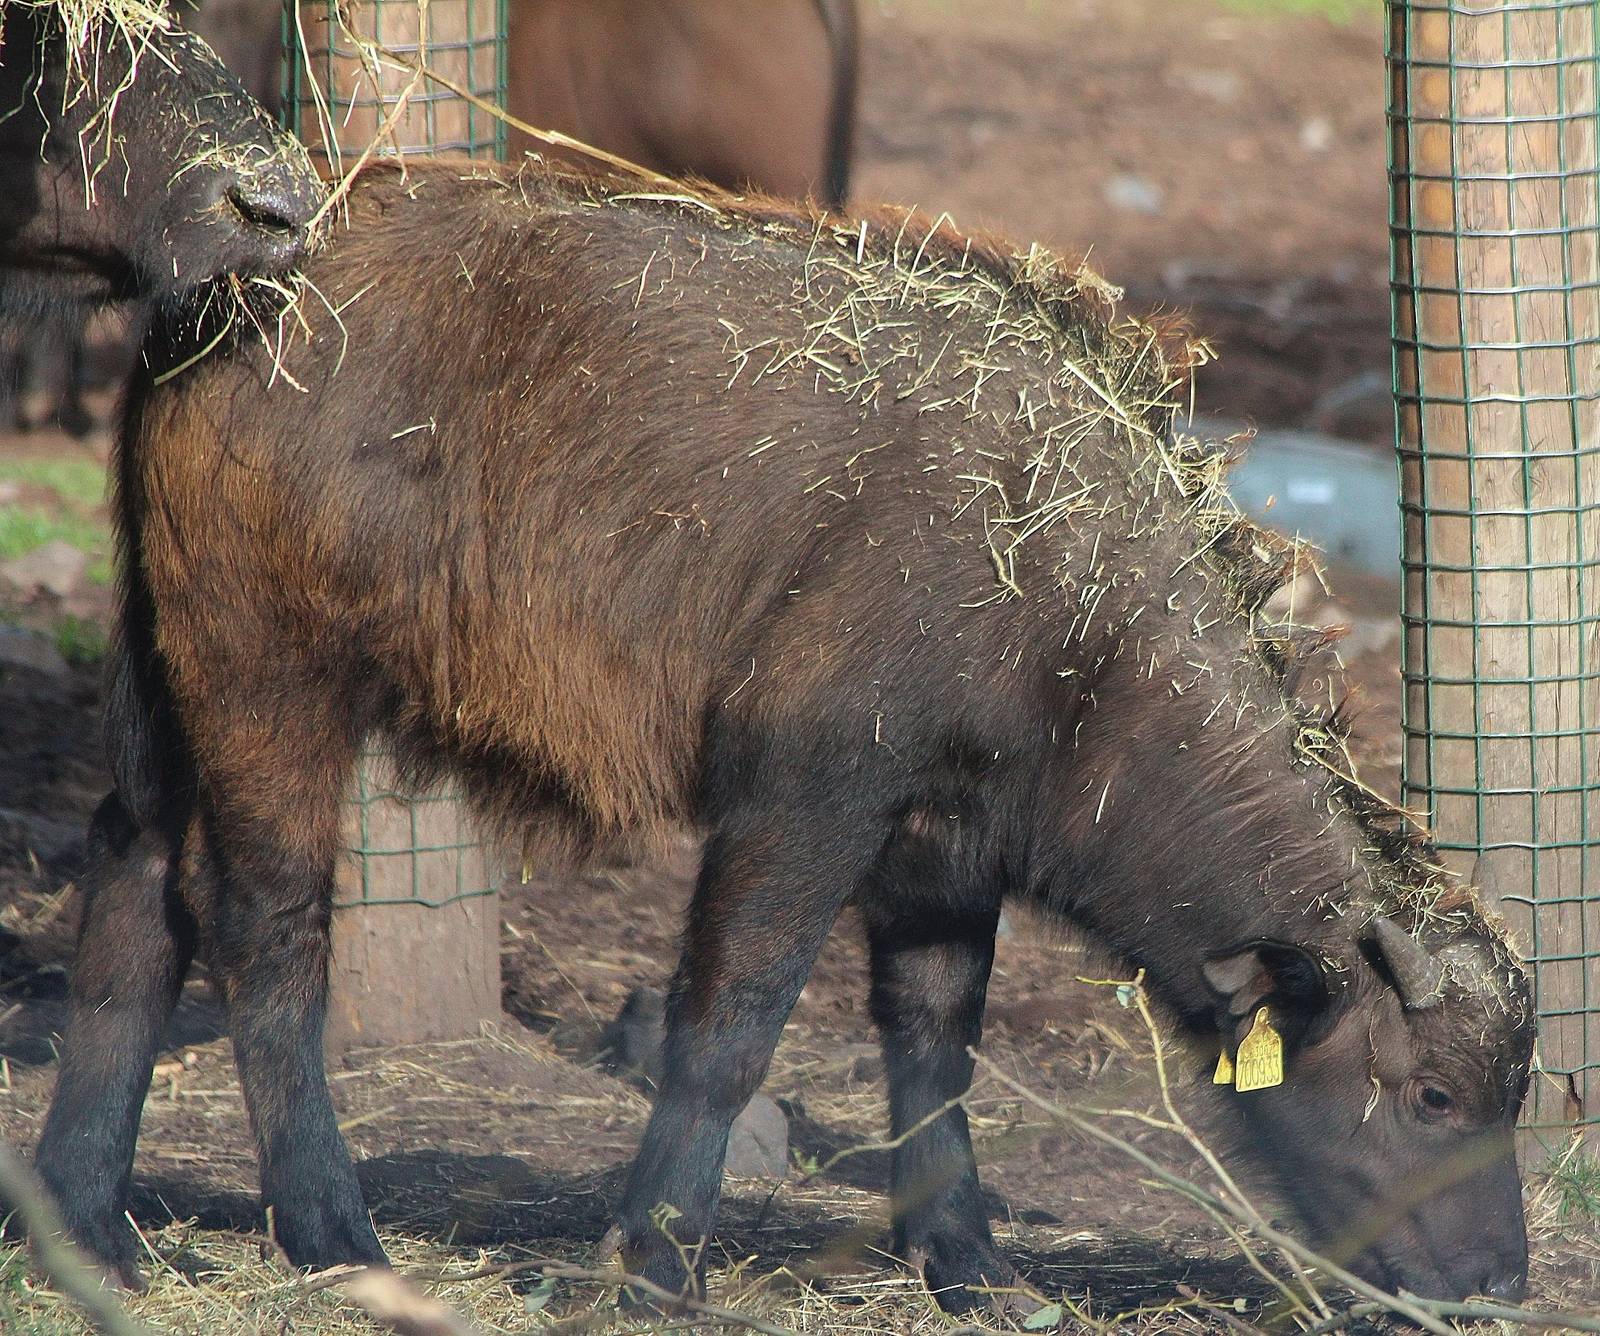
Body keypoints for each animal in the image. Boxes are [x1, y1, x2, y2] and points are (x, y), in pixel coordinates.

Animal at [34, 157, 1535, 1312]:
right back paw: (333, 1232)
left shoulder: (945, 848)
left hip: (164, 678)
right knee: (265, 922)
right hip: (270, 678)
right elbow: (731, 1021)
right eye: (1434, 1098)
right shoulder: (806, 799)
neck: (1063, 584)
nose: (1498, 1283)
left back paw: (81, 1220)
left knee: (132, 877)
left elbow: (934, 1041)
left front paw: (967, 1261)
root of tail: (216, 292)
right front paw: (651, 1261)